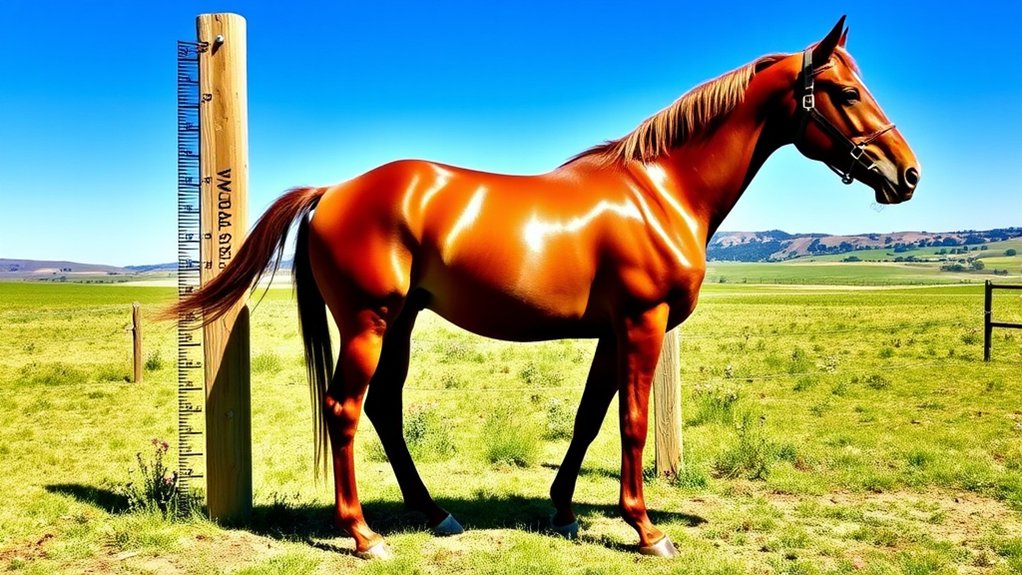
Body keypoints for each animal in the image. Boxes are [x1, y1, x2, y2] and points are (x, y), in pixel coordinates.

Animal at [169, 16, 919, 558]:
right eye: (847, 92)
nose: (906, 174)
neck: (660, 190)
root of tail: (333, 192)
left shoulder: (613, 333)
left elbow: (591, 418)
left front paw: (561, 508)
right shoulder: (643, 324)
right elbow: (632, 424)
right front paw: (647, 530)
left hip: (401, 321)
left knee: (382, 407)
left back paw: (436, 513)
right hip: (369, 321)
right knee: (346, 408)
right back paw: (363, 535)